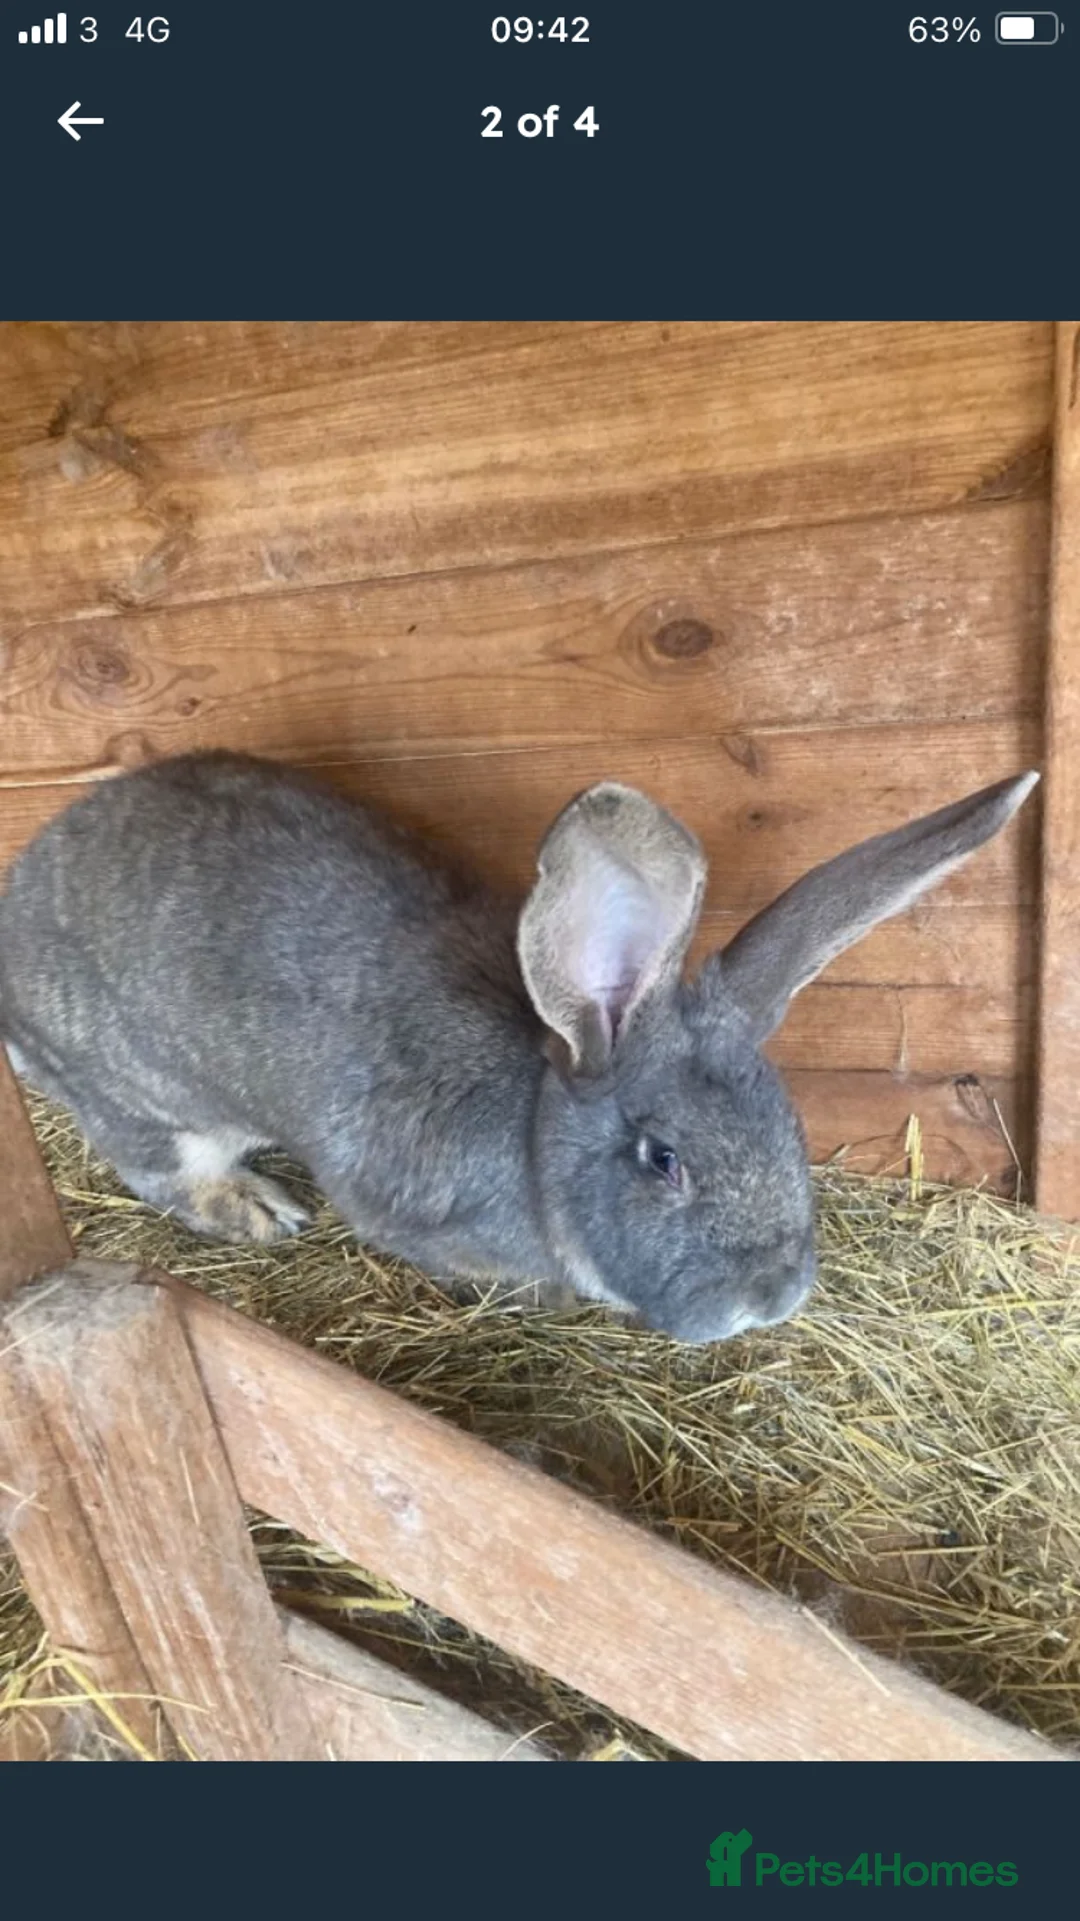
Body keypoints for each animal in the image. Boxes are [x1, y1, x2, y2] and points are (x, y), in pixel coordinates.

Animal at [0, 751, 1037, 1344]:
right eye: (664, 1160)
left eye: (791, 1128)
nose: (776, 1295)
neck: (536, 1128)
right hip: (147, 1100)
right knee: (164, 1167)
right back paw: (259, 1209)